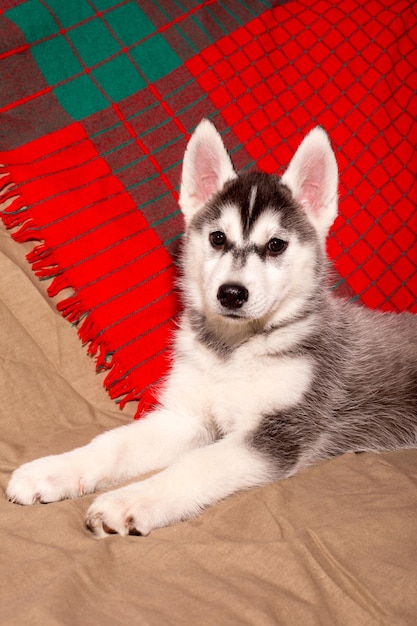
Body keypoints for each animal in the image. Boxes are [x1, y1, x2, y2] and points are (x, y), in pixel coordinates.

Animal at [6, 119, 416, 532]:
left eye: (276, 245)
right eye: (218, 238)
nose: (231, 293)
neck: (232, 351)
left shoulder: (278, 431)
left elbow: (195, 464)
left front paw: (129, 500)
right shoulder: (185, 417)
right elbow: (114, 443)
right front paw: (52, 470)